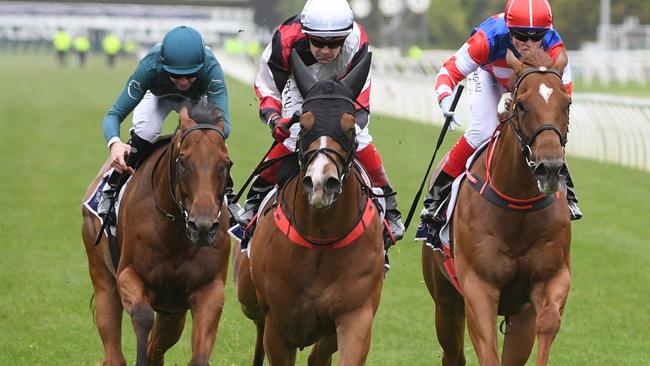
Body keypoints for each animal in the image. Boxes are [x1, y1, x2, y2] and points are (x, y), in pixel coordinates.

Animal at [81, 98, 232, 364]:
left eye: (225, 163)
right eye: (183, 161)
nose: (202, 227)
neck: (175, 233)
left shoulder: (209, 289)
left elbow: (198, 355)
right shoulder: (128, 275)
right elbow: (142, 316)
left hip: (173, 311)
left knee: (156, 348)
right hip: (102, 279)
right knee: (114, 353)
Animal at [233, 50, 384, 364]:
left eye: (350, 128)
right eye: (303, 124)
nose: (320, 183)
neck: (321, 238)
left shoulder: (355, 317)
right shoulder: (279, 326)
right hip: (247, 296)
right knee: (257, 326)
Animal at [422, 48, 568, 366]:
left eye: (567, 102)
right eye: (522, 105)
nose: (550, 168)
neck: (518, 207)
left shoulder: (550, 280)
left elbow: (548, 322)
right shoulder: (478, 286)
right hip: (445, 300)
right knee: (453, 353)